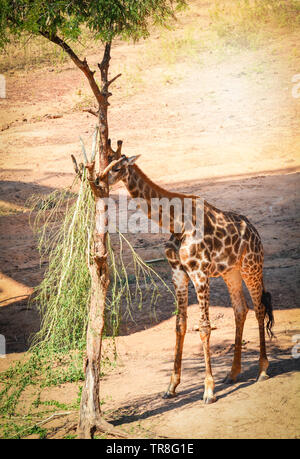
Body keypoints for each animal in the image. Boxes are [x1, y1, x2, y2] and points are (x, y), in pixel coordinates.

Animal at [103, 149, 274, 404]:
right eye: (104, 164)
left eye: (116, 167)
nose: (97, 181)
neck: (175, 223)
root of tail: (257, 233)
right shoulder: (178, 274)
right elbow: (180, 324)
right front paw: (171, 386)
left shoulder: (200, 273)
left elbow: (204, 327)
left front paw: (209, 391)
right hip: (231, 272)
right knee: (240, 309)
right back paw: (232, 373)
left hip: (251, 266)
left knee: (259, 307)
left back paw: (262, 370)